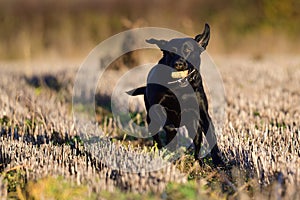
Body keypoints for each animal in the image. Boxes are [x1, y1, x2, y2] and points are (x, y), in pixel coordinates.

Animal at [126, 23, 223, 166]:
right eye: (171, 52)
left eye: (188, 50)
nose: (179, 64)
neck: (180, 89)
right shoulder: (158, 108)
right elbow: (169, 126)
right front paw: (172, 143)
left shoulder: (202, 114)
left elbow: (211, 136)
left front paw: (219, 160)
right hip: (151, 121)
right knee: (157, 139)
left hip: (193, 125)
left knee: (197, 141)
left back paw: (198, 161)